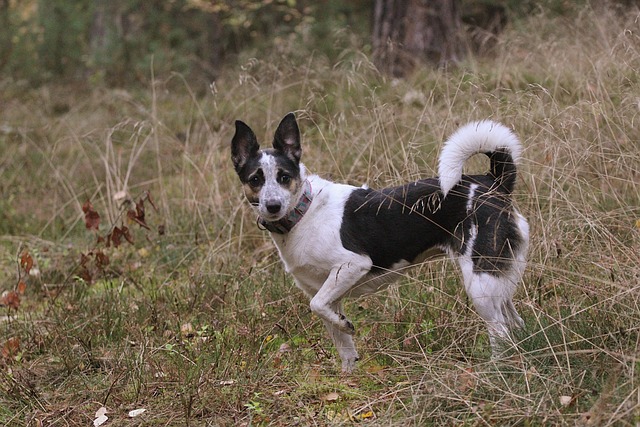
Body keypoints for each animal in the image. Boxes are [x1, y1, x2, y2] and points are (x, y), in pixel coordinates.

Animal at [232, 113, 528, 374]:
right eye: (255, 179)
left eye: (284, 177)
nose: (272, 206)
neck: (304, 212)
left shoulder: (352, 265)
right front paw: (347, 377)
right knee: (515, 322)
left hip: (480, 282)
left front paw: (347, 326)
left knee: (500, 331)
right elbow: (341, 342)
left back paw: (493, 370)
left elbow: (317, 306)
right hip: (497, 278)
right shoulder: (327, 292)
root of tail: (493, 182)